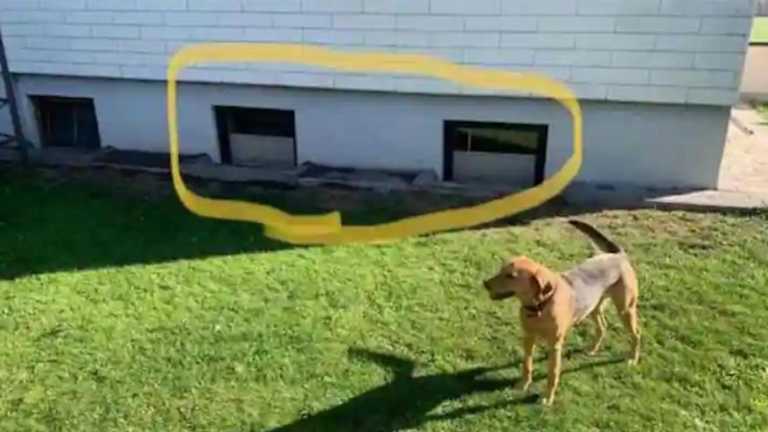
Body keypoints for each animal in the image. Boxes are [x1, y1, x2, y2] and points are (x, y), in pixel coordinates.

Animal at [483, 219, 640, 406]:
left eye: (511, 276)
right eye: (501, 270)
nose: (485, 283)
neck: (540, 306)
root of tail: (618, 255)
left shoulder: (555, 345)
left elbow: (552, 373)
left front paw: (547, 398)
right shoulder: (528, 337)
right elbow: (527, 365)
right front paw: (523, 385)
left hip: (625, 309)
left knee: (636, 335)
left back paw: (632, 358)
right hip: (593, 308)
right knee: (602, 327)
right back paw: (592, 349)